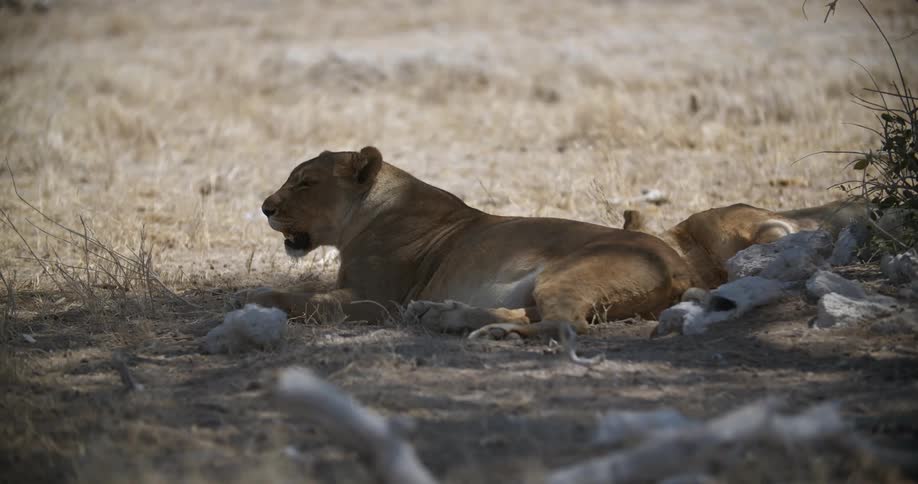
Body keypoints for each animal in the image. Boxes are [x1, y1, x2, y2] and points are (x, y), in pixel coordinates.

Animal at [236, 147, 863, 339]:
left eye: (305, 182)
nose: (265, 207)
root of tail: (681, 265)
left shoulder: (378, 301)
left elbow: (296, 297)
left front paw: (250, 300)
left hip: (569, 272)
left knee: (564, 326)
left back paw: (473, 329)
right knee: (535, 314)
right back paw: (450, 316)